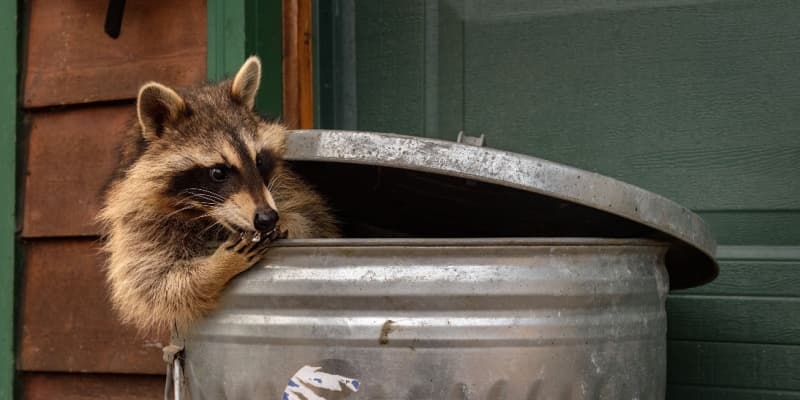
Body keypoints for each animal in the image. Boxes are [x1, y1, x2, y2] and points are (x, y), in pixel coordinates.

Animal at [98, 57, 338, 333]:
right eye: (218, 173)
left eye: (259, 161)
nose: (267, 219)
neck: (206, 217)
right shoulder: (138, 221)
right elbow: (154, 283)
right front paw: (216, 268)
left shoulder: (287, 190)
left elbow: (311, 220)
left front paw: (288, 223)